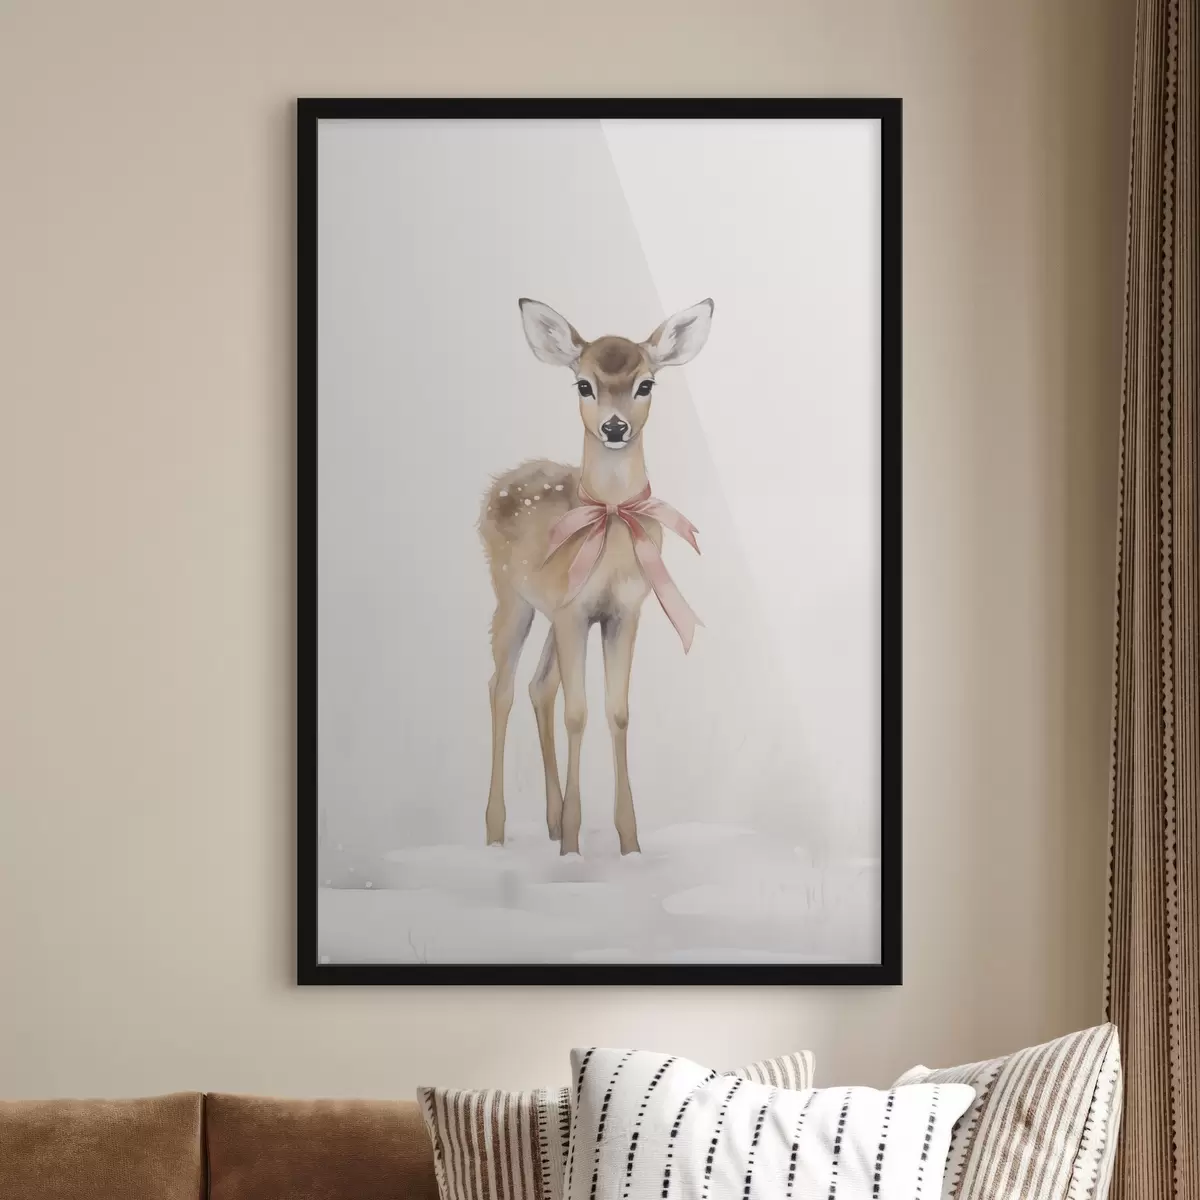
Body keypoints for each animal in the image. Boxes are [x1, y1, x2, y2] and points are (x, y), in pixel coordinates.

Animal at [478, 297, 714, 856]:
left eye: (646, 384)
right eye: (583, 384)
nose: (613, 427)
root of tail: (496, 486)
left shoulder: (620, 611)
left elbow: (617, 711)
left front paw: (628, 842)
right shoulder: (574, 612)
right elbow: (577, 713)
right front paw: (573, 847)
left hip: (551, 610)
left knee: (538, 685)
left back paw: (549, 821)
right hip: (511, 596)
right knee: (502, 686)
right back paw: (496, 832)